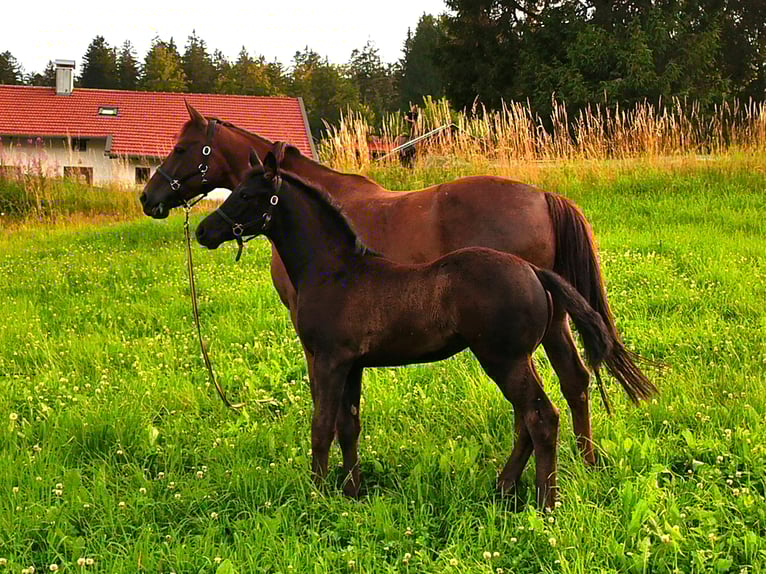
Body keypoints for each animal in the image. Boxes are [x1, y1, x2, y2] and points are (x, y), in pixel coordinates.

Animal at [140, 102, 655, 465]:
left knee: (558, 390)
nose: (149, 197)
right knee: (574, 381)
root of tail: (543, 196)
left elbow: (327, 408)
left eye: (182, 148)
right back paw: (587, 462)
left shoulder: (319, 345)